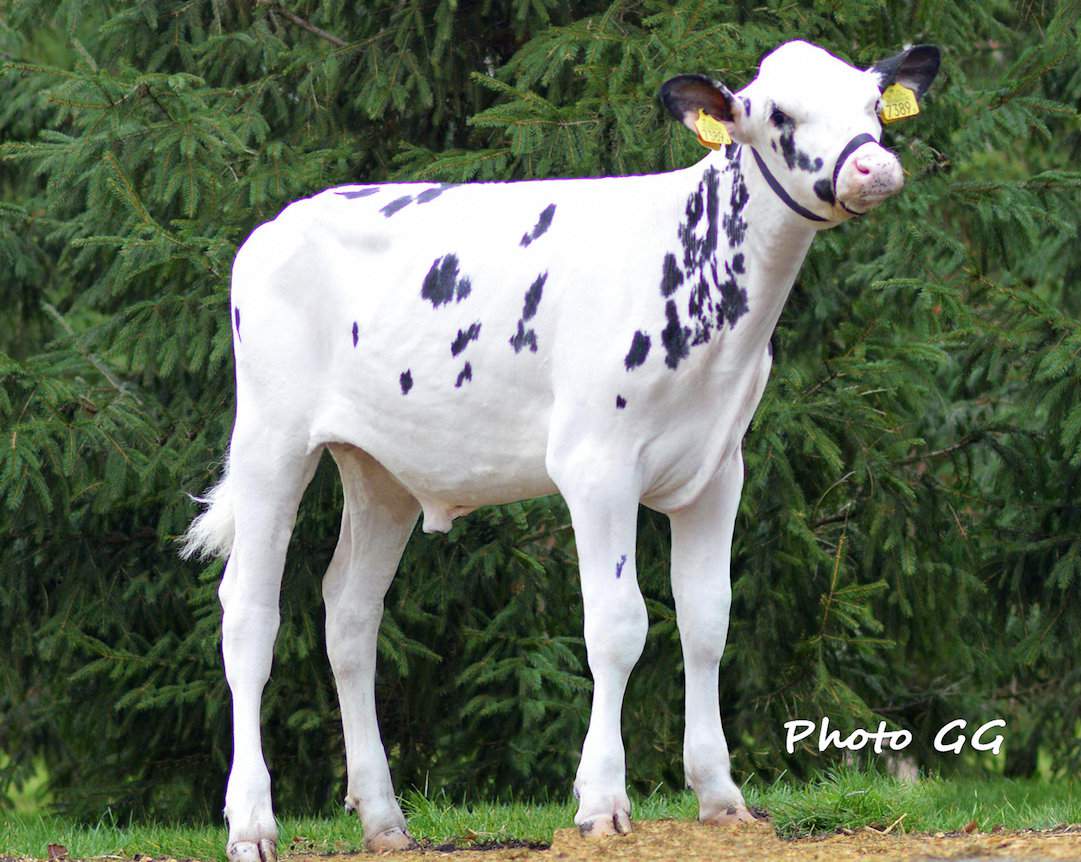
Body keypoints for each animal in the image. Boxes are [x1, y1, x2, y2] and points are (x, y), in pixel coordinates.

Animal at [183, 38, 938, 852]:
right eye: (779, 115)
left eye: (872, 106)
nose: (874, 168)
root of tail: (282, 220)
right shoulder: (596, 464)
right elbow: (617, 626)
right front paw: (601, 800)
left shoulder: (718, 469)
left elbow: (707, 621)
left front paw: (720, 794)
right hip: (271, 439)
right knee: (248, 615)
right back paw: (251, 823)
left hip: (379, 469)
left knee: (350, 614)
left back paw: (384, 820)